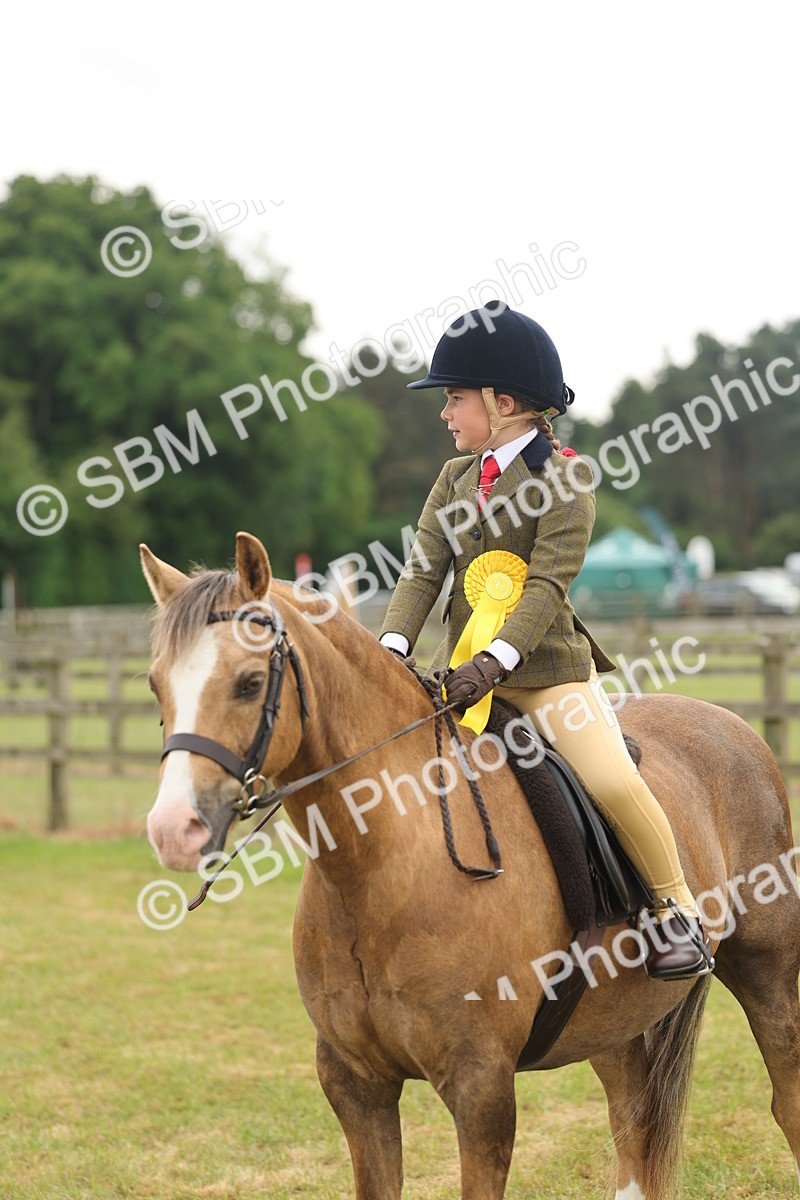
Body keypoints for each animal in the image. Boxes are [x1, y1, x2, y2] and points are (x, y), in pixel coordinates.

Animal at [141, 531, 800, 1200]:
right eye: (155, 685)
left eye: (250, 683)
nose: (173, 828)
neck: (382, 867)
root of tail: (732, 724)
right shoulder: (356, 1085)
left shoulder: (481, 1088)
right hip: (614, 1021)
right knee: (633, 1120)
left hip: (769, 974)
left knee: (786, 1100)